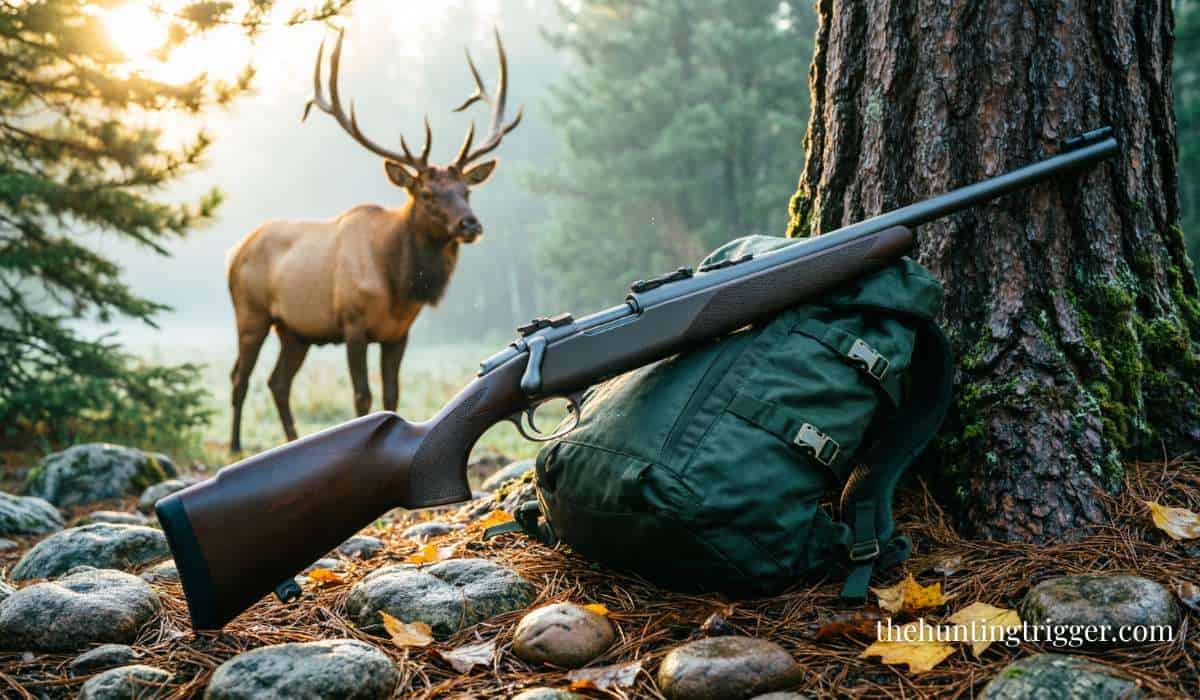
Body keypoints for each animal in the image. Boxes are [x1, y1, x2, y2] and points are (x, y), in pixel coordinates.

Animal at [225, 29, 522, 452]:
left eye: (467, 190)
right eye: (427, 193)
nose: (470, 224)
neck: (398, 283)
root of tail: (234, 253)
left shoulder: (398, 334)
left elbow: (392, 394)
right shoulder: (353, 324)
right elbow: (363, 396)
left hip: (295, 331)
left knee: (278, 382)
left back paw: (292, 440)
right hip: (251, 313)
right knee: (241, 377)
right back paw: (236, 446)